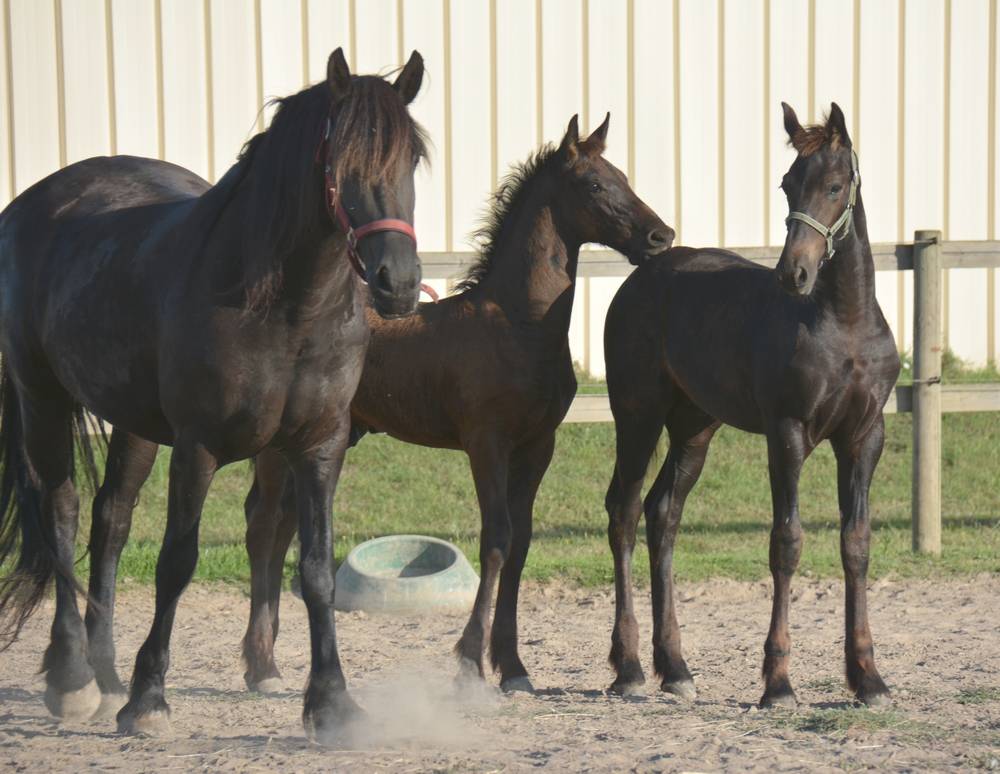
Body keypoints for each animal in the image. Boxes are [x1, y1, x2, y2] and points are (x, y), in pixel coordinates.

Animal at [0, 48, 427, 743]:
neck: (283, 308)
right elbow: (177, 561)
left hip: (134, 423)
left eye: (411, 157)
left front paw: (331, 702)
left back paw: (106, 672)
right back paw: (73, 680)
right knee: (59, 511)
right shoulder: (197, 447)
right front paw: (148, 698)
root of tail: (30, 206)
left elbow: (316, 570)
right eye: (341, 163)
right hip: (43, 398)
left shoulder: (320, 446)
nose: (399, 283)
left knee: (110, 520)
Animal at [602, 102, 899, 708]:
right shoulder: (787, 434)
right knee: (624, 511)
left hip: (695, 427)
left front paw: (868, 678)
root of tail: (642, 277)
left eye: (835, 186)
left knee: (663, 514)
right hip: (638, 417)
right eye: (787, 184)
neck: (845, 324)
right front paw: (778, 683)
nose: (794, 273)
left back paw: (676, 669)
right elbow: (786, 543)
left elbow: (856, 543)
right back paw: (630, 669)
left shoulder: (864, 439)